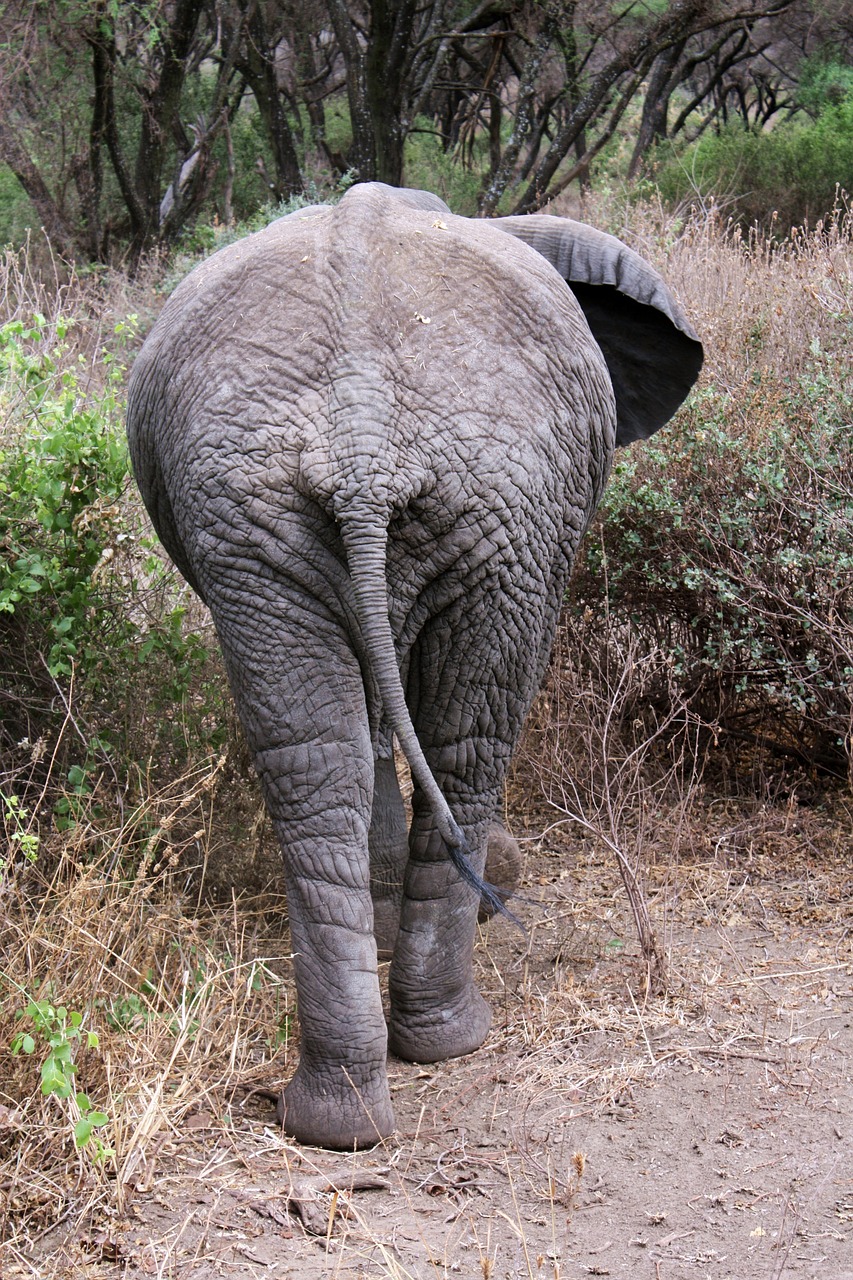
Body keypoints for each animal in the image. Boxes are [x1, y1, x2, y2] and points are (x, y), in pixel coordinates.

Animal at [124, 180, 696, 1152]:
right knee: (471, 739)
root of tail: (358, 436)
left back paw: (339, 1116)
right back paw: (449, 1036)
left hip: (257, 513)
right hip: (501, 505)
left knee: (316, 759)